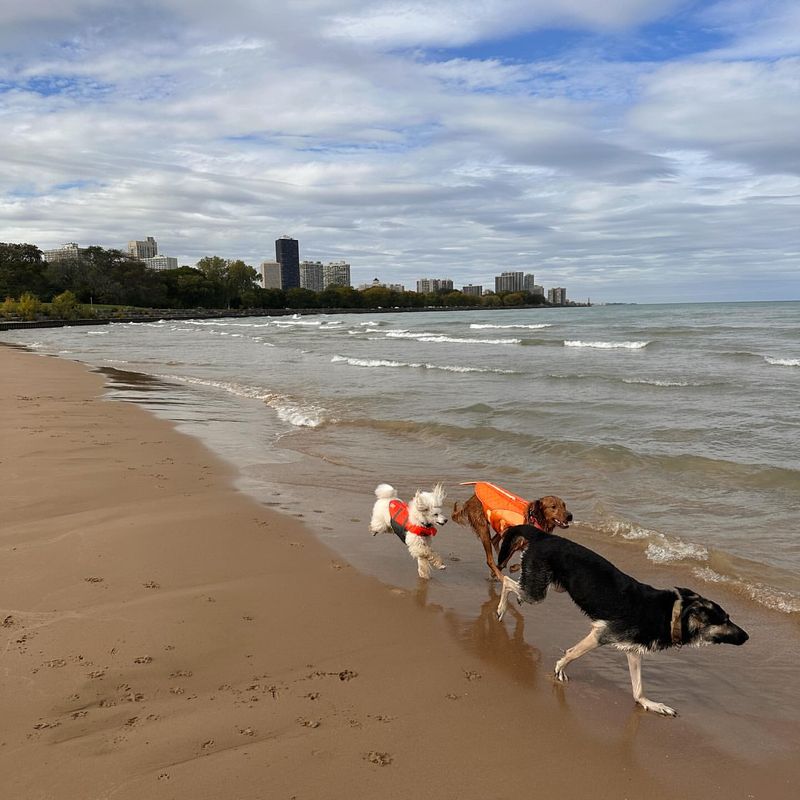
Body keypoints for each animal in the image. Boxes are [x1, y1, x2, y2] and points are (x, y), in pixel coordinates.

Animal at [494, 520, 752, 716]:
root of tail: (543, 536)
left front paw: (650, 704)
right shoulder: (601, 634)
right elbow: (573, 653)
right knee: (507, 582)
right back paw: (500, 608)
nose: (748, 637)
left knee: (514, 584)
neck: (673, 615)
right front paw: (560, 667)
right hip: (537, 593)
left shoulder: (633, 651)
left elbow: (638, 688)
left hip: (550, 587)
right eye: (724, 620)